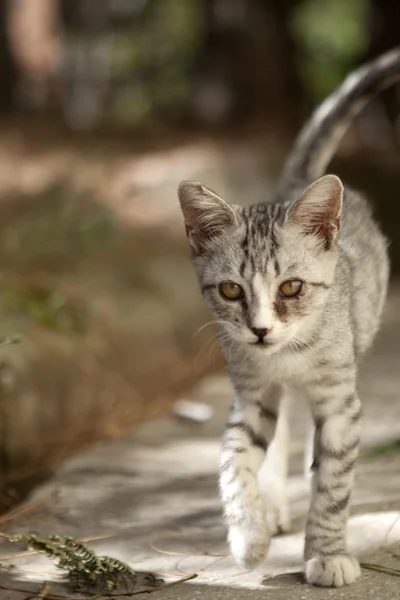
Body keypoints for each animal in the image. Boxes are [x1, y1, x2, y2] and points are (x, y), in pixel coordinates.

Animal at [177, 49, 400, 588]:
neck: (288, 354)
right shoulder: (252, 394)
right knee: (276, 437)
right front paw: (247, 534)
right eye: (231, 290)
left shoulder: (341, 402)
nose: (260, 329)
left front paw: (327, 553)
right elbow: (234, 461)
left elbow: (333, 483)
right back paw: (272, 505)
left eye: (291, 288)